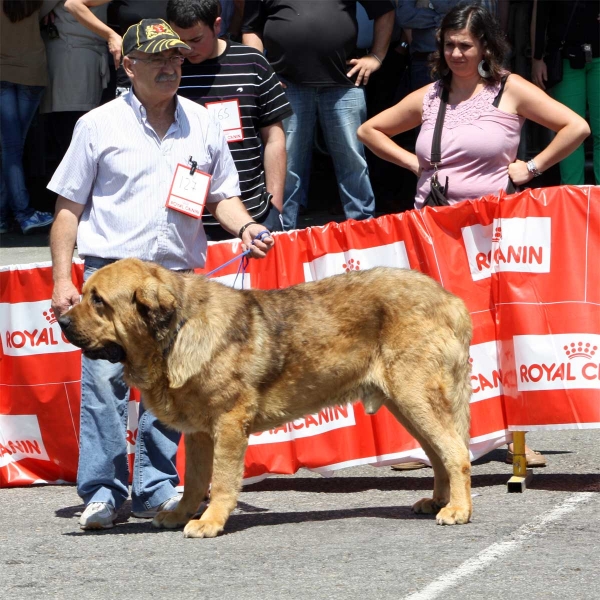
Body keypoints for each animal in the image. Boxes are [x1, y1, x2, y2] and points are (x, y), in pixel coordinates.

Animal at [59, 258, 474, 540]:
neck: (176, 333)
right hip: (406, 405)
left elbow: (221, 479)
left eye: (98, 301)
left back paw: (457, 510)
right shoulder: (199, 432)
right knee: (438, 452)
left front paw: (210, 521)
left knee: (454, 451)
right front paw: (181, 514)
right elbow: (194, 480)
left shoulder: (228, 423)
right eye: (86, 296)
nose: (60, 319)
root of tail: (451, 300)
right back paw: (438, 502)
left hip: (415, 395)